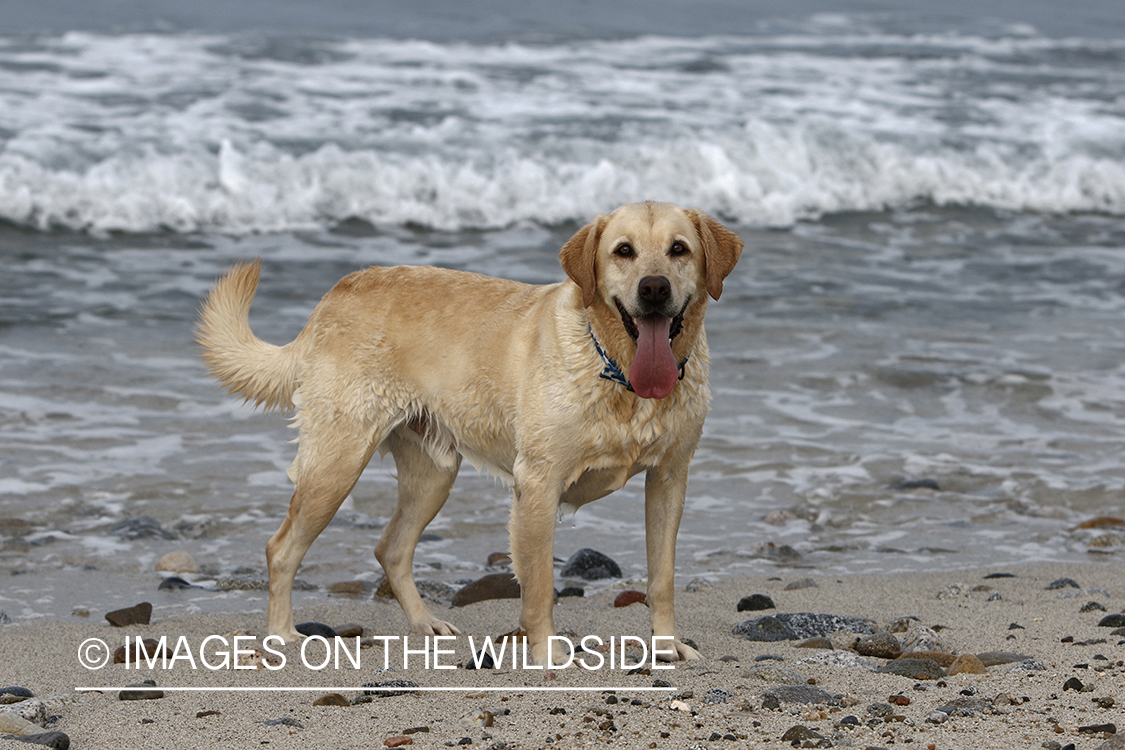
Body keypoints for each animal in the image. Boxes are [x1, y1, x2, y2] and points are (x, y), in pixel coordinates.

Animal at [195, 199, 738, 661]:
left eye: (679, 249)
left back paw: (425, 624)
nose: (654, 288)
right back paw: (282, 634)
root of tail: (334, 294)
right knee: (282, 548)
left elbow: (662, 578)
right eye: (623, 250)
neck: (619, 374)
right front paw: (546, 654)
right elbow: (539, 584)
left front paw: (667, 647)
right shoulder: (538, 485)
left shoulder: (669, 479)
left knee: (391, 548)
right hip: (337, 464)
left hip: (433, 474)